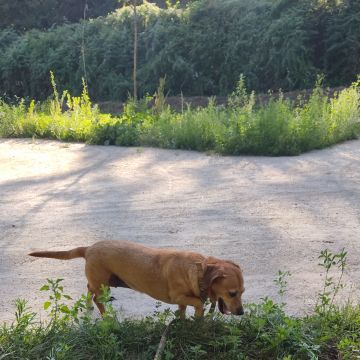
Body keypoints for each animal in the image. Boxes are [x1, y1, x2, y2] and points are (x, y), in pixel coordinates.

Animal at [29, 240, 245, 316]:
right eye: (232, 293)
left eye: (242, 292)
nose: (241, 313)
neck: (198, 270)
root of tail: (89, 248)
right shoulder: (178, 297)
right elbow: (197, 303)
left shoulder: (182, 301)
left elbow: (184, 312)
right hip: (102, 285)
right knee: (98, 299)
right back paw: (108, 317)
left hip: (100, 282)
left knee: (89, 290)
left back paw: (89, 306)